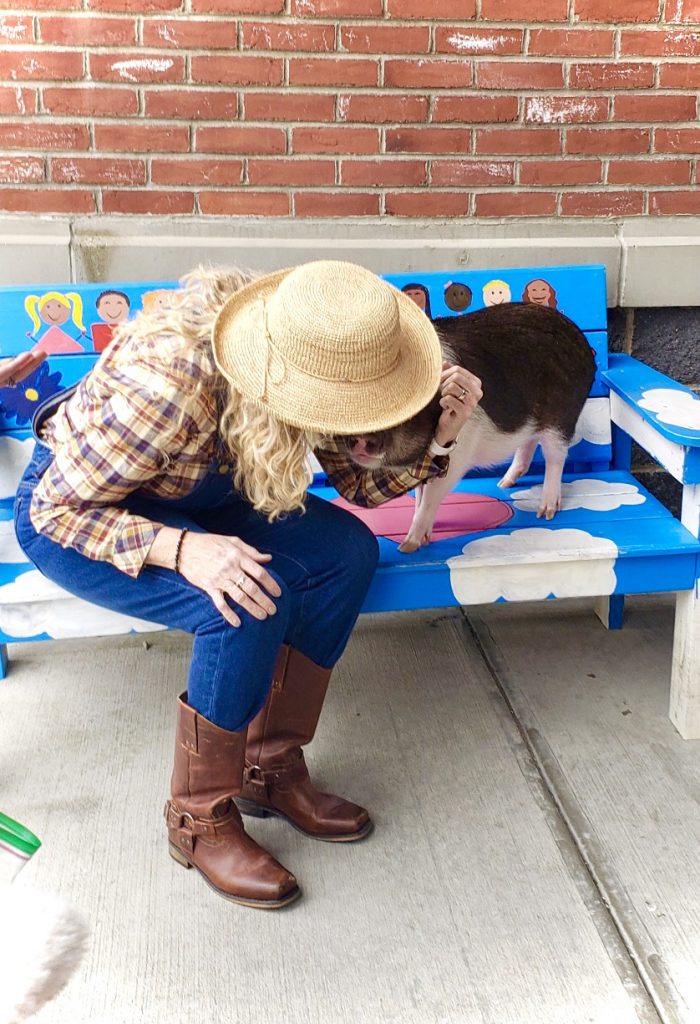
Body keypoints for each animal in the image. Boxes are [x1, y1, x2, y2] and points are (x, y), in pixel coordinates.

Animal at [341, 301, 593, 552]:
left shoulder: (458, 458)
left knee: (555, 458)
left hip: (561, 418)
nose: (361, 438)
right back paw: (504, 484)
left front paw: (408, 546)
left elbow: (431, 497)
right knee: (528, 443)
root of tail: (582, 342)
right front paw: (423, 538)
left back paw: (546, 512)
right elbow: (420, 492)